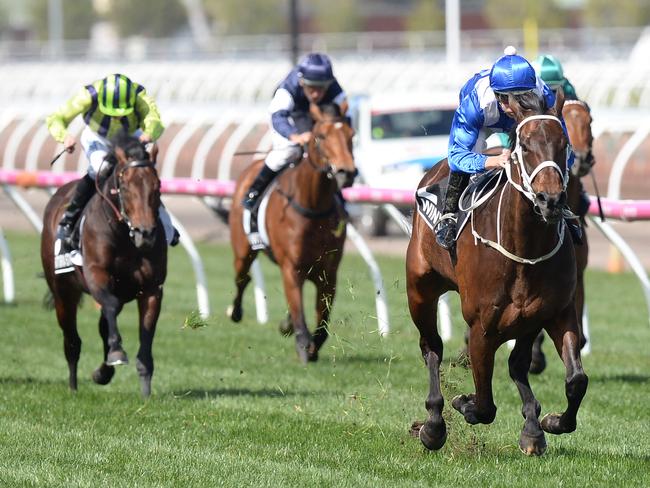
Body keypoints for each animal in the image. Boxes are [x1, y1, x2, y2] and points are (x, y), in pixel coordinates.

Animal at [40, 133, 166, 396]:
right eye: (125, 187)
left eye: (157, 186)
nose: (146, 234)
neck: (124, 236)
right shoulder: (97, 276)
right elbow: (109, 306)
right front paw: (116, 352)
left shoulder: (152, 289)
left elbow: (144, 338)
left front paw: (145, 391)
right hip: (62, 292)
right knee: (72, 341)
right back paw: (73, 387)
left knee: (104, 324)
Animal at [225, 103, 352, 362]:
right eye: (321, 136)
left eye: (351, 135)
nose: (347, 172)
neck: (313, 207)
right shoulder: (292, 268)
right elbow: (298, 308)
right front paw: (303, 344)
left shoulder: (329, 273)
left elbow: (323, 319)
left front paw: (312, 344)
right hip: (243, 251)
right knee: (242, 278)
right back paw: (235, 311)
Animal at [410, 89, 588, 456]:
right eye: (525, 145)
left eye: (563, 143)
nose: (551, 199)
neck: (524, 248)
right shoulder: (482, 328)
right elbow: (484, 405)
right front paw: (462, 403)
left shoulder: (556, 312)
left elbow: (576, 380)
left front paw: (551, 422)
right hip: (419, 290)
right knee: (432, 347)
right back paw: (433, 424)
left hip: (527, 320)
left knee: (517, 363)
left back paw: (532, 427)